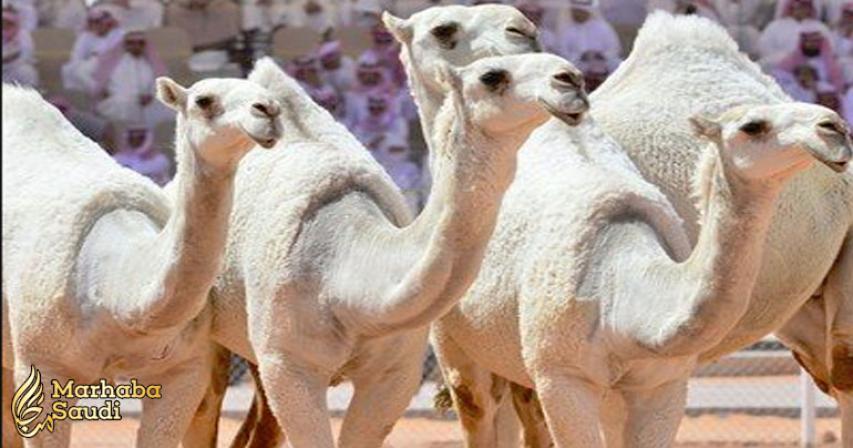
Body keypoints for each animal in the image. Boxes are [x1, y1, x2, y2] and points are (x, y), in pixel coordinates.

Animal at [1, 69, 283, 448]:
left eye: (265, 93)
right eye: (203, 100)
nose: (268, 110)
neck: (117, 295)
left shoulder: (182, 371)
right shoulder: (42, 364)